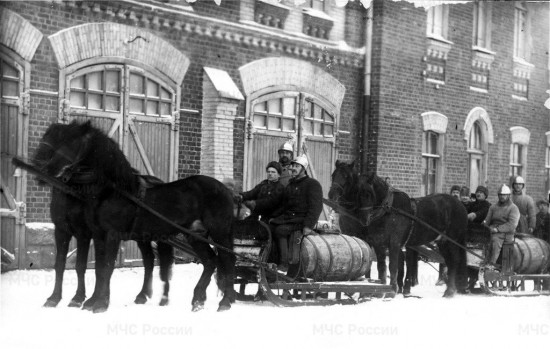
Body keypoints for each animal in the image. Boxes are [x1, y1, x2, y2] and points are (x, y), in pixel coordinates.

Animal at [32, 121, 235, 312]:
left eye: (71, 142)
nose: (41, 169)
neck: (113, 191)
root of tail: (226, 190)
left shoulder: (109, 234)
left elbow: (107, 267)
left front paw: (100, 304)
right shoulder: (96, 235)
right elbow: (98, 267)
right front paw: (90, 301)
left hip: (220, 232)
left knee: (227, 260)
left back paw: (225, 302)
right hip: (194, 235)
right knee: (209, 261)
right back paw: (197, 300)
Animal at [332, 160, 470, 296]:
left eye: (368, 193)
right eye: (357, 193)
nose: (364, 218)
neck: (387, 211)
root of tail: (460, 204)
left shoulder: (394, 243)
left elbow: (393, 266)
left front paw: (392, 289)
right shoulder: (378, 243)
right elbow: (381, 267)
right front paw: (380, 290)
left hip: (452, 241)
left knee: (454, 261)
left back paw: (449, 291)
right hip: (442, 242)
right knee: (447, 261)